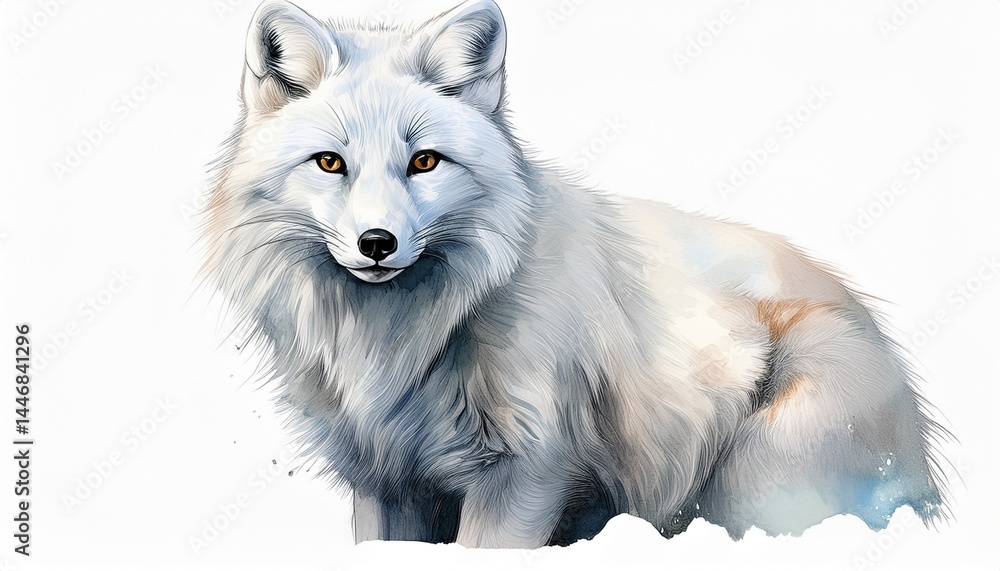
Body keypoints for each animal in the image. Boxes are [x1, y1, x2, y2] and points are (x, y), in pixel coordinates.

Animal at [200, 0, 947, 549]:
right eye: (330, 163)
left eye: (424, 162)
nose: (376, 243)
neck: (408, 341)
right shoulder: (388, 481)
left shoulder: (526, 472)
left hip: (755, 484)